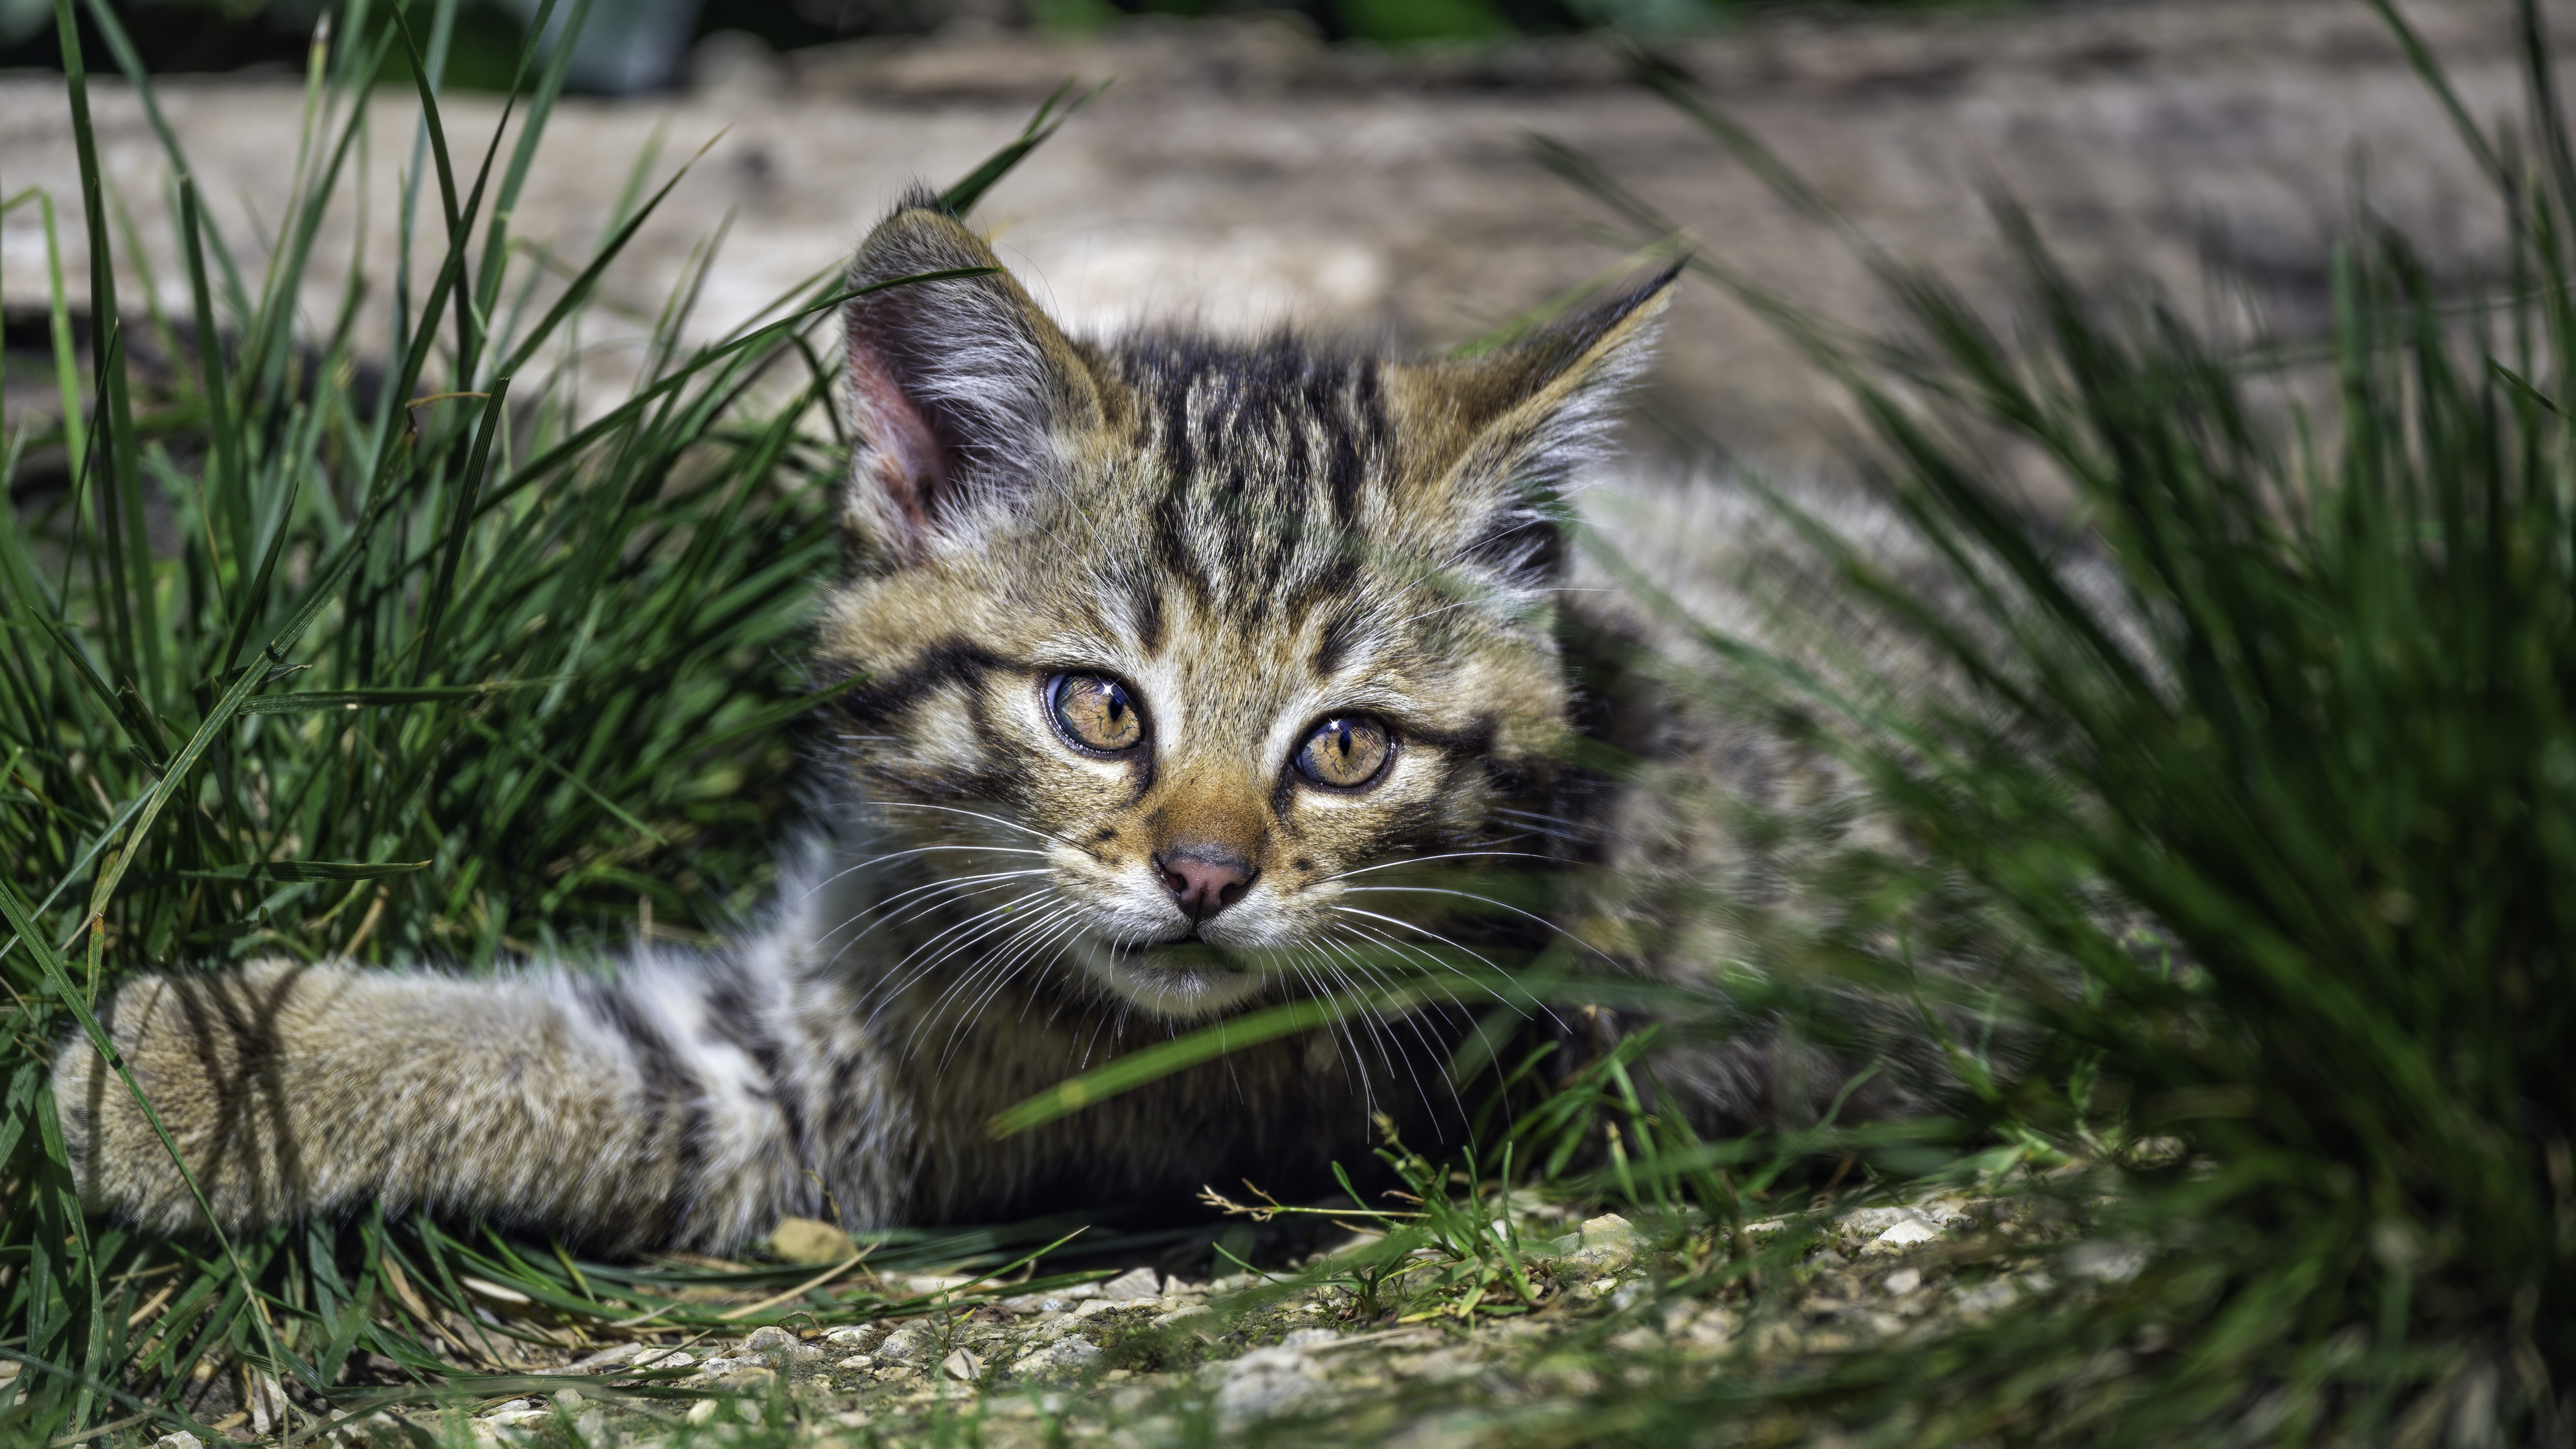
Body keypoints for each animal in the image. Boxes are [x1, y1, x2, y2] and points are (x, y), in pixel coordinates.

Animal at [50, 189, 1926, 1253]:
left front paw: (184, 1078)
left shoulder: (831, 1100)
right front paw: (222, 1057)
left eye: (1345, 748)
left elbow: (588, 1078)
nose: (1204, 880)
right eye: (1097, 709)